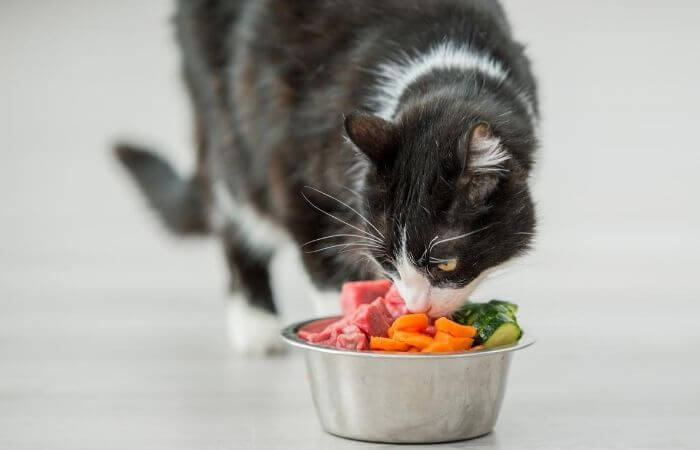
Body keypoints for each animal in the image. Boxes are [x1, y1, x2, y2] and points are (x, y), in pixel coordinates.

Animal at [117, 0, 540, 356]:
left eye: (446, 265)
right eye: (385, 259)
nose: (416, 305)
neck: (449, 69)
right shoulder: (294, 170)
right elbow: (326, 264)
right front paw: (349, 327)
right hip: (224, 109)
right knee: (234, 203)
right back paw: (254, 322)